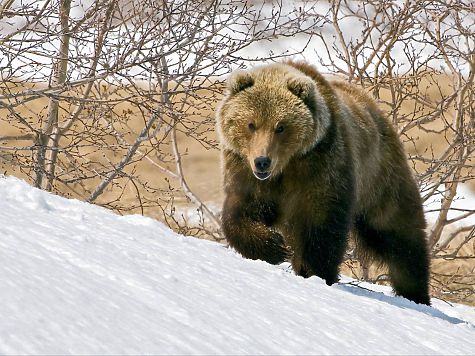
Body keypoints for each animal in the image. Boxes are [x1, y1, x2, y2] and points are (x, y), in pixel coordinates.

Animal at [218, 59, 434, 304]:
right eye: (251, 124)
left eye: (280, 126)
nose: (262, 161)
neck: (286, 166)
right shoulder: (247, 173)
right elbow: (240, 213)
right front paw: (273, 246)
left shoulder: (321, 165)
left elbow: (320, 224)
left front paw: (313, 270)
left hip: (379, 176)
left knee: (398, 232)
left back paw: (415, 292)